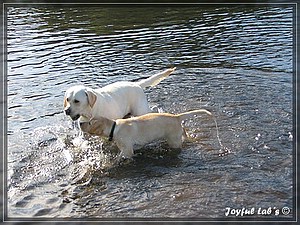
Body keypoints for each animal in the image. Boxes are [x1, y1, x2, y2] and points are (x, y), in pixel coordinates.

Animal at [78, 109, 212, 160]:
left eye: (90, 123)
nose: (80, 123)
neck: (114, 127)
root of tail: (177, 117)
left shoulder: (127, 149)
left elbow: (121, 156)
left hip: (173, 140)